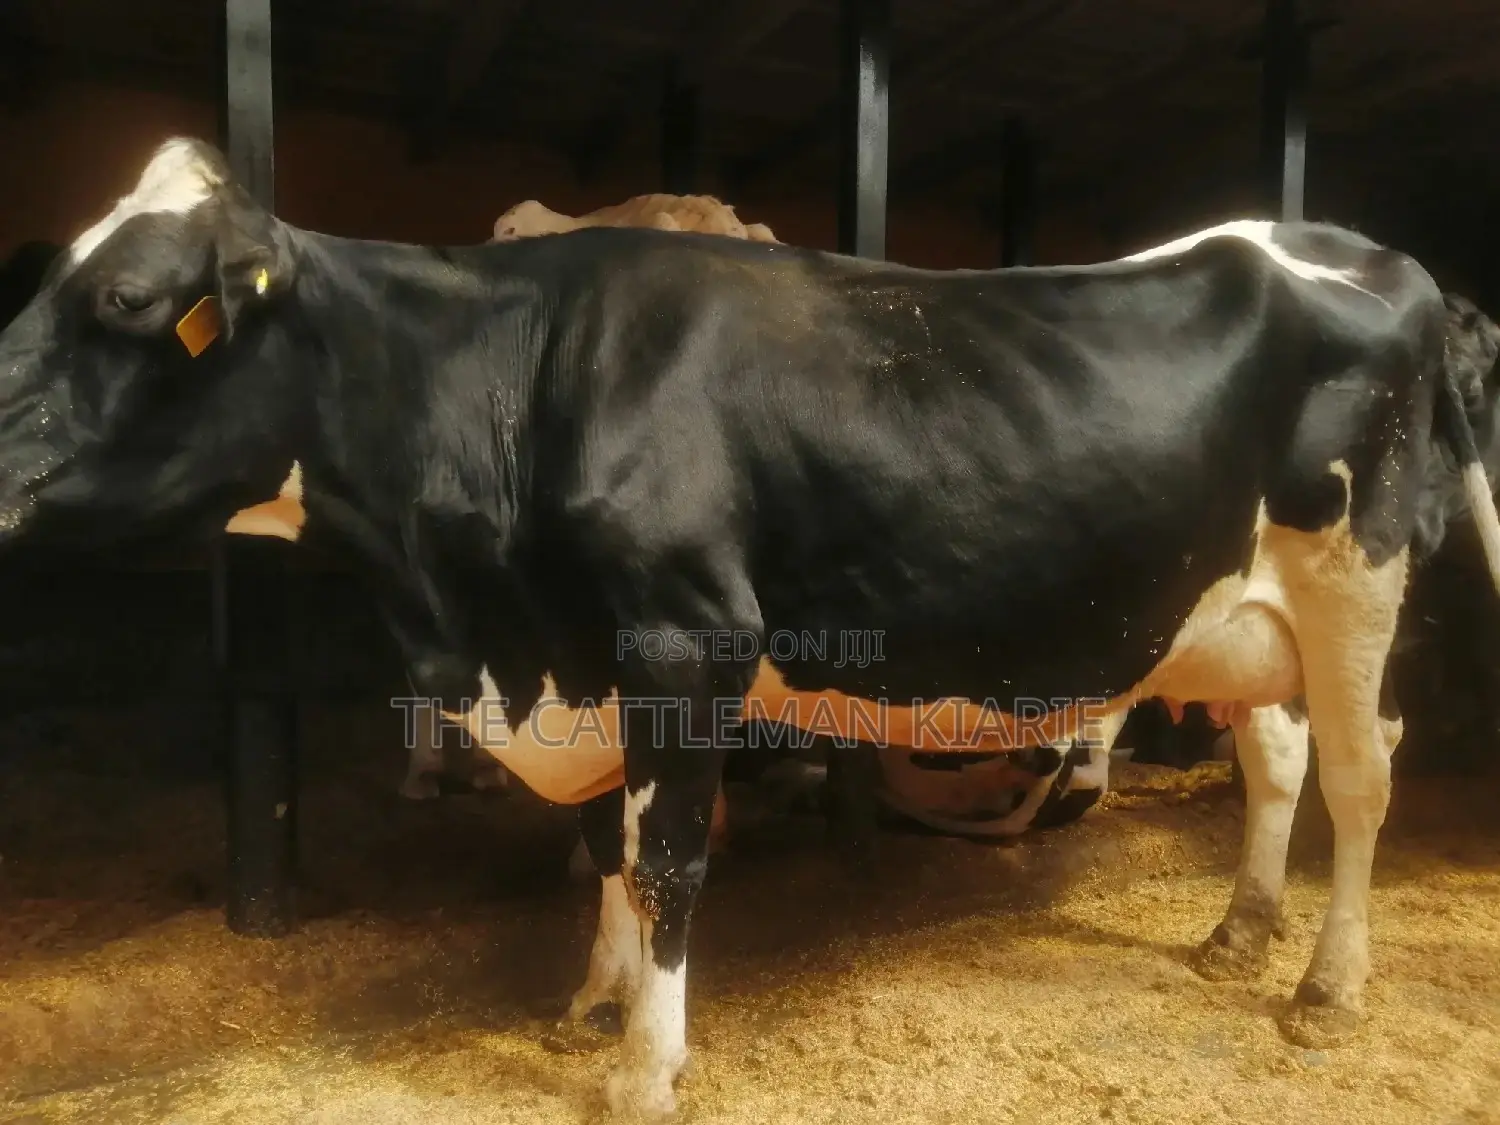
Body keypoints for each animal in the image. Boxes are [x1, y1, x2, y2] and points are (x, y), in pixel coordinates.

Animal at [2, 138, 1499, 1118]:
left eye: (126, 301)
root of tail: (1363, 251)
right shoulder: (596, 663)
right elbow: (606, 852)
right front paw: (594, 1008)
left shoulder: (683, 646)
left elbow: (664, 864)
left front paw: (644, 1066)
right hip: (1248, 616)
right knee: (1281, 760)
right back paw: (1240, 931)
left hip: (1360, 582)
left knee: (1362, 779)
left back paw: (1325, 991)